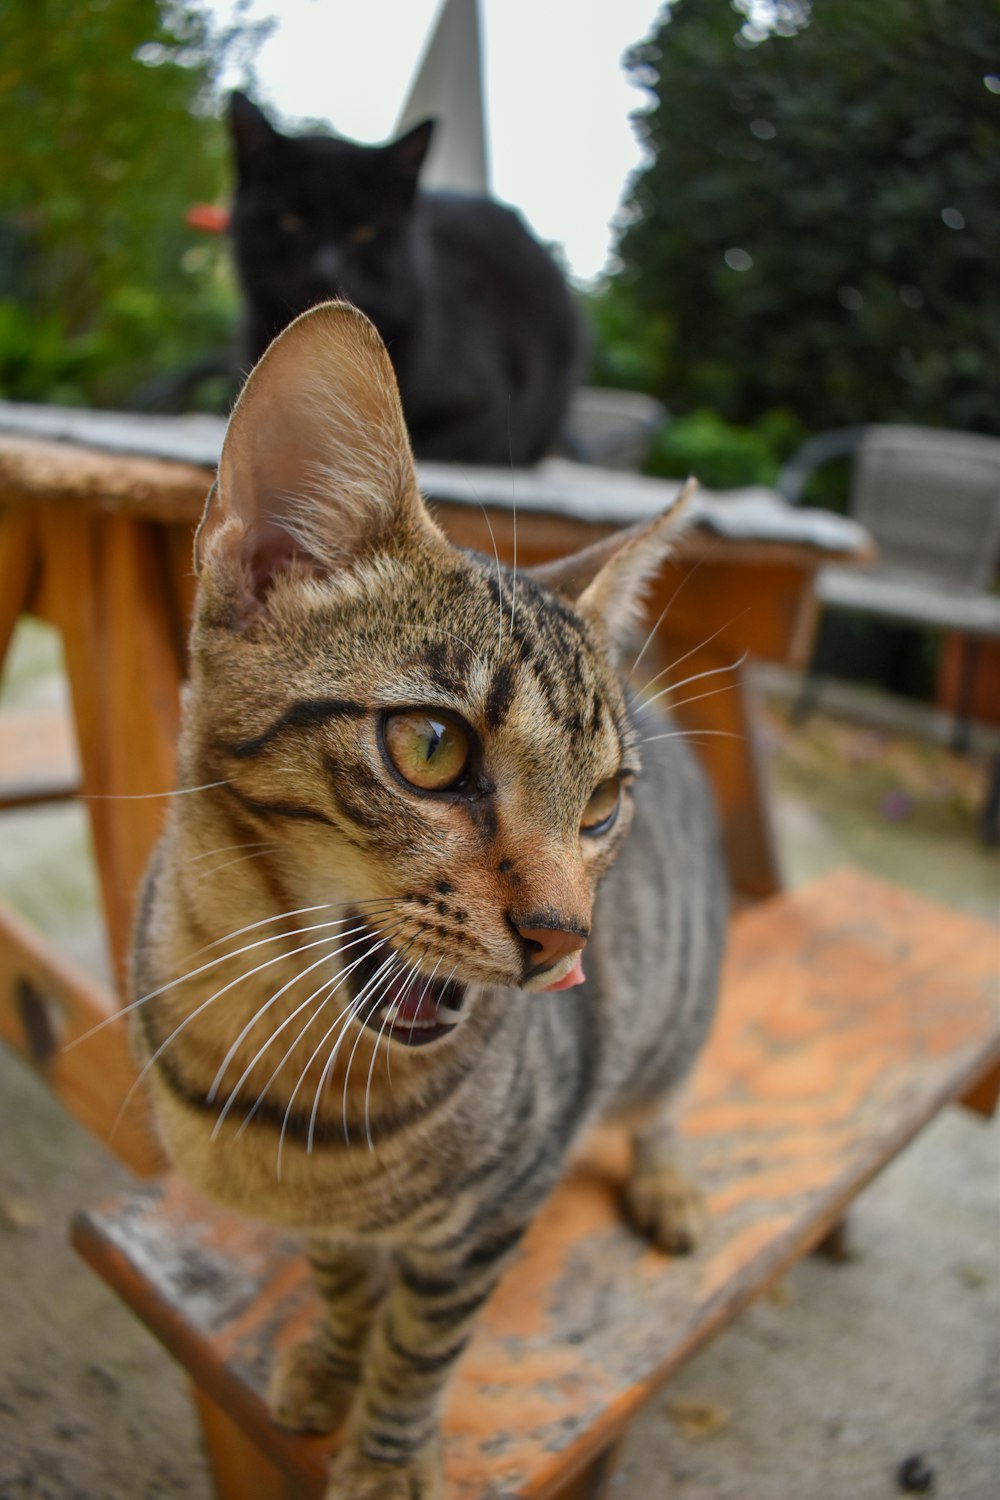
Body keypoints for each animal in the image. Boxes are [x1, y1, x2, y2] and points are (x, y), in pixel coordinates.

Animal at [132, 298, 728, 1494]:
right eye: (432, 748)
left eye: (601, 804)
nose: (564, 939)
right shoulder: (330, 1229)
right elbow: (344, 1279)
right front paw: (331, 1357)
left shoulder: (490, 1218)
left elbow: (423, 1343)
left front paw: (386, 1454)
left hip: (674, 1019)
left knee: (661, 1102)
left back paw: (668, 1179)